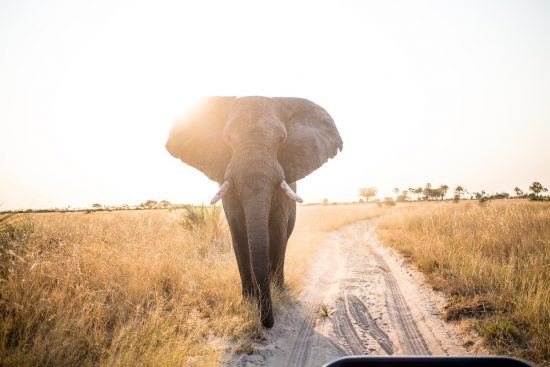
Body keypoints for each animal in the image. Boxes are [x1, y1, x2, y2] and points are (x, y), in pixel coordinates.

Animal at [166, 95, 342, 328]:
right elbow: (238, 230)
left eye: (282, 139)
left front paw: (277, 292)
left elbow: (276, 229)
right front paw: (248, 300)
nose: (268, 323)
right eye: (227, 139)